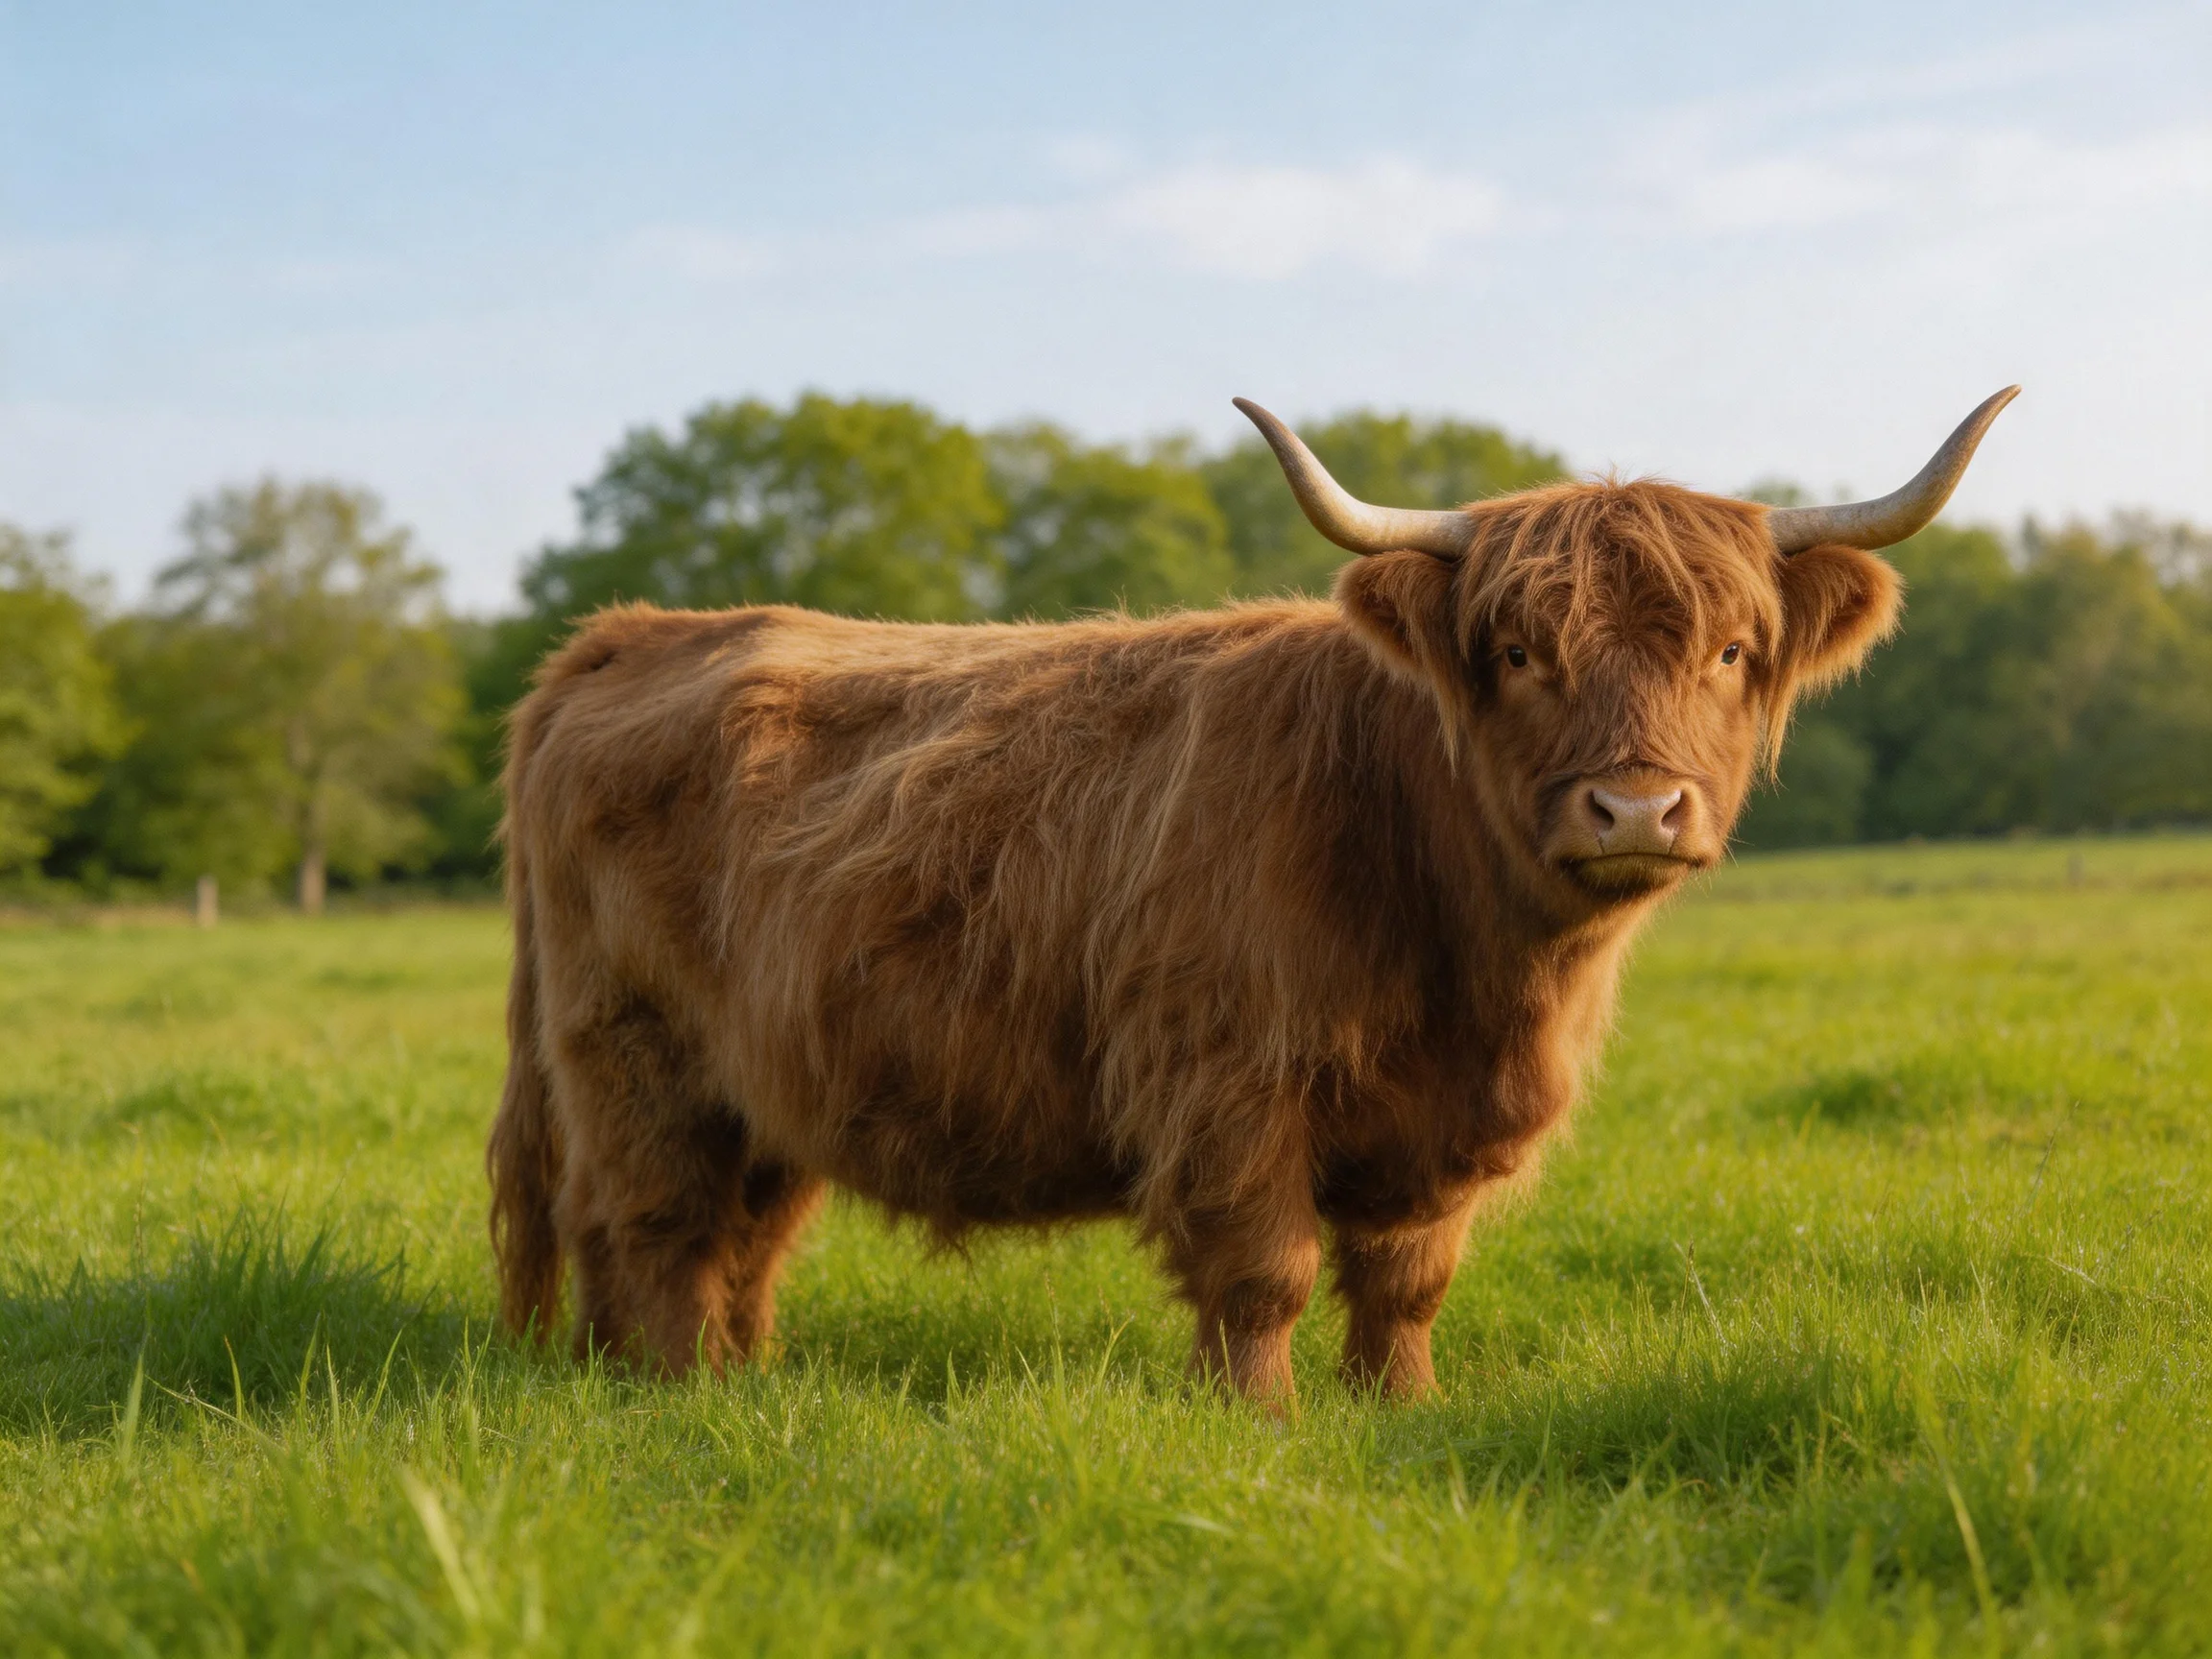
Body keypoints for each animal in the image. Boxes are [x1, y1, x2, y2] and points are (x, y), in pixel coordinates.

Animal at [488, 388, 2017, 1403]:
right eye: (1518, 651)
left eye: (1732, 651)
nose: (1635, 809)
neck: (1476, 966)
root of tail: (630, 635)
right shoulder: (1222, 1081)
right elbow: (1262, 1269)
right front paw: (1264, 1424)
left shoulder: (1441, 1126)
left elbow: (1407, 1279)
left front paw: (1398, 1409)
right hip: (633, 1053)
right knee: (654, 1227)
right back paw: (679, 1398)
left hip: (770, 1080)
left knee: (739, 1237)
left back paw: (732, 1382)